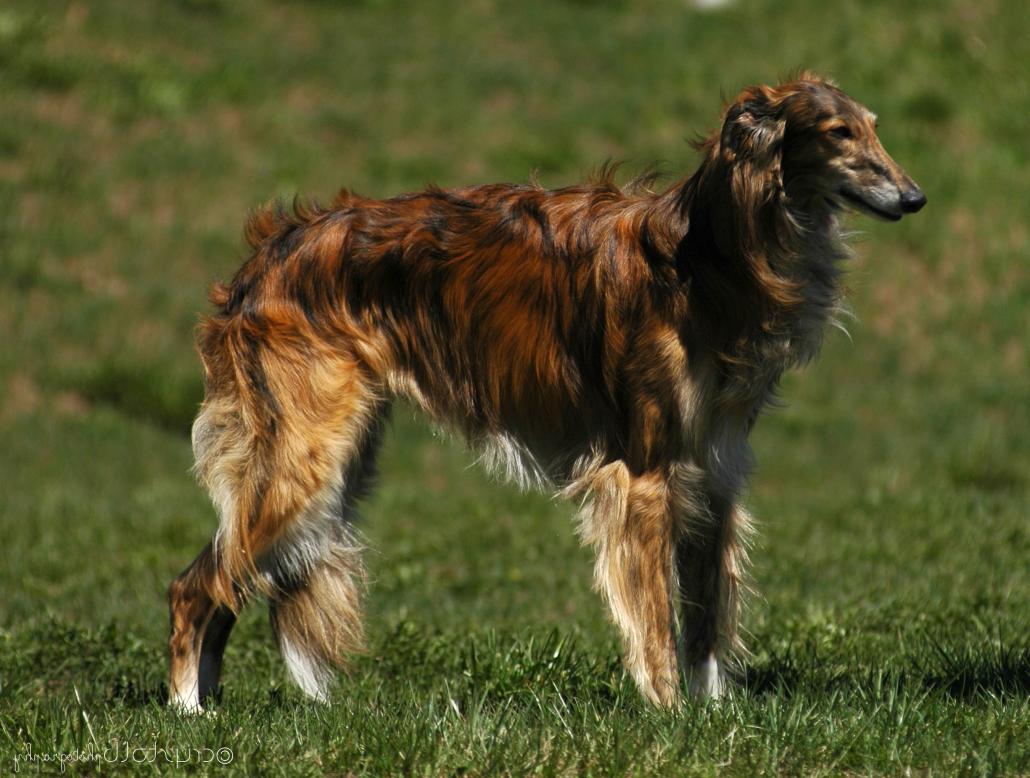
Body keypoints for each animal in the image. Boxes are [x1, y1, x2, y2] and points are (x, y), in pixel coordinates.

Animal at [166, 74, 927, 713]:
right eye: (838, 133)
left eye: (873, 127)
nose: (915, 197)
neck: (708, 253)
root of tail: (264, 257)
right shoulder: (645, 474)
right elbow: (657, 621)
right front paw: (670, 716)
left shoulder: (714, 468)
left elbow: (708, 619)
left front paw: (716, 716)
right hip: (306, 459)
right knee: (195, 587)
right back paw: (189, 715)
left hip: (339, 462)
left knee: (230, 585)